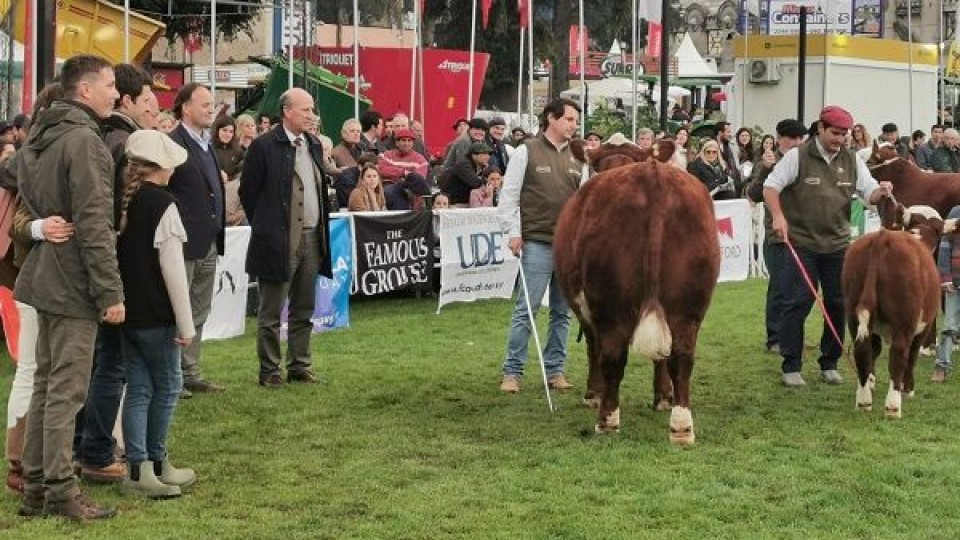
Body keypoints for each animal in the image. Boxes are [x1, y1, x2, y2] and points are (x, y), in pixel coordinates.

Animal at [556, 135, 720, 442]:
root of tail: (651, 173)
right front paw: (663, 398)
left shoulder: (587, 310)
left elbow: (593, 349)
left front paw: (592, 395)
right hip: (689, 304)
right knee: (681, 356)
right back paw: (681, 426)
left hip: (611, 303)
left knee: (612, 356)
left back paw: (607, 421)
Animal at [840, 209, 952, 420]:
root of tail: (882, 236)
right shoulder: (922, 327)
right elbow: (913, 355)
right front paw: (908, 388)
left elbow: (874, 351)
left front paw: (871, 381)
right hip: (904, 319)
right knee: (900, 354)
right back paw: (893, 405)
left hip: (852, 311)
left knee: (862, 349)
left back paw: (864, 400)